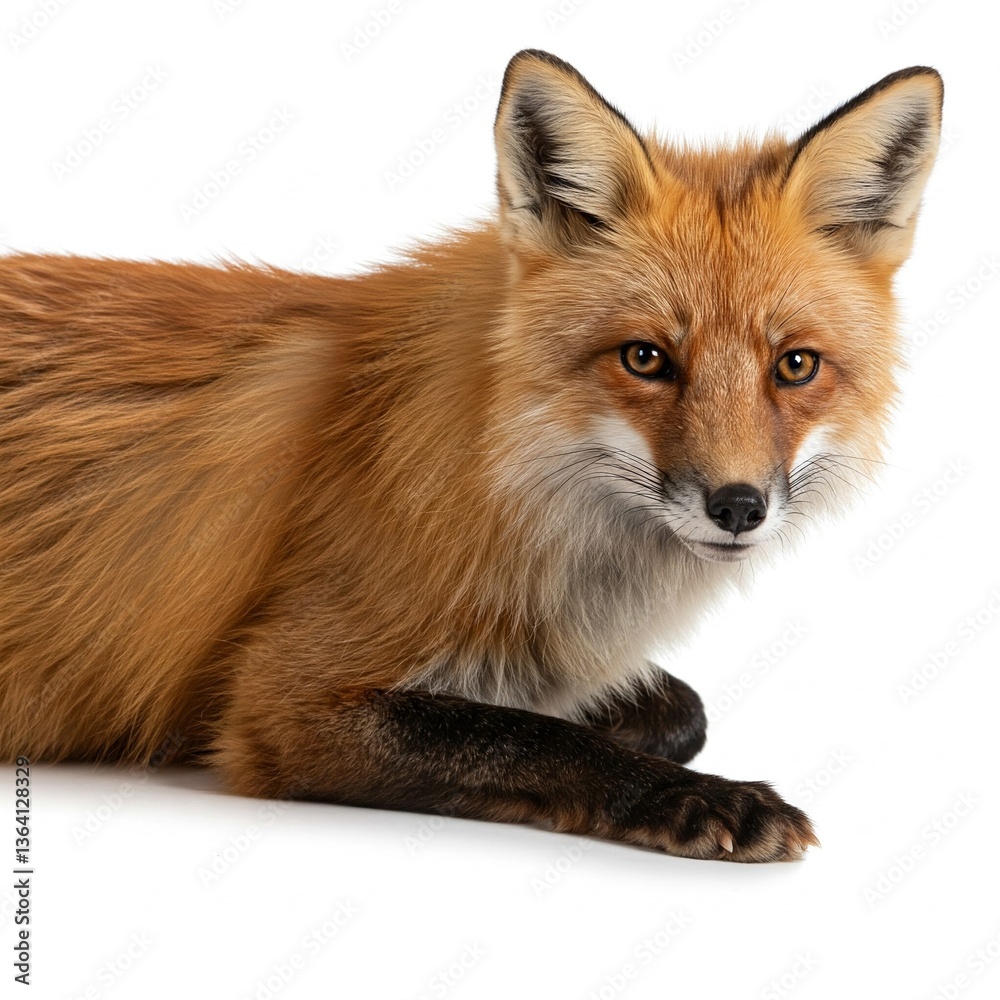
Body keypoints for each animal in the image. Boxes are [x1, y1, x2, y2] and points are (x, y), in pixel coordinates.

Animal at [0, 51, 942, 861]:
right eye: (645, 359)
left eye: (796, 366)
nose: (739, 507)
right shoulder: (280, 701)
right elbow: (525, 736)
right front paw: (691, 794)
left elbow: (674, 709)